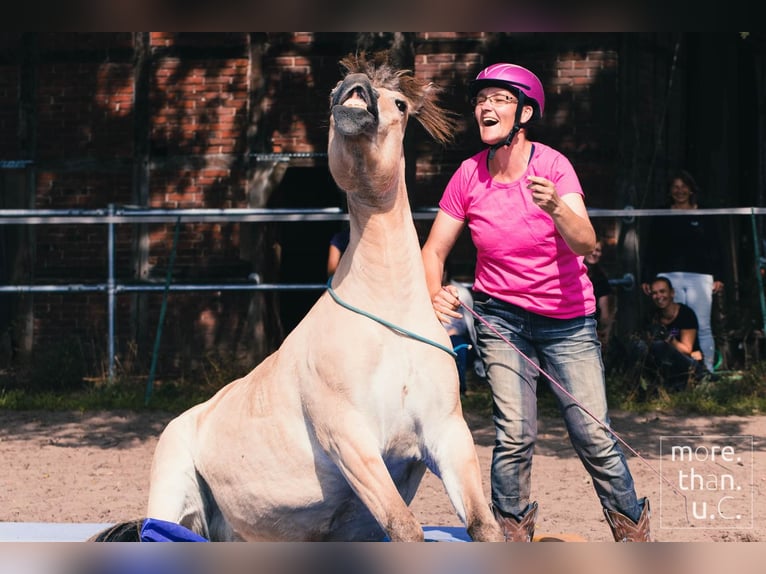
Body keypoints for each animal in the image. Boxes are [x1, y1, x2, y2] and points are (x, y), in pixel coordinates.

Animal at [94, 50, 504, 544]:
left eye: (401, 104)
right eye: (332, 96)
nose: (354, 90)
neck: (388, 317)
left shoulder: (447, 434)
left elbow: (484, 527)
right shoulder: (351, 441)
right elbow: (406, 529)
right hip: (172, 494)